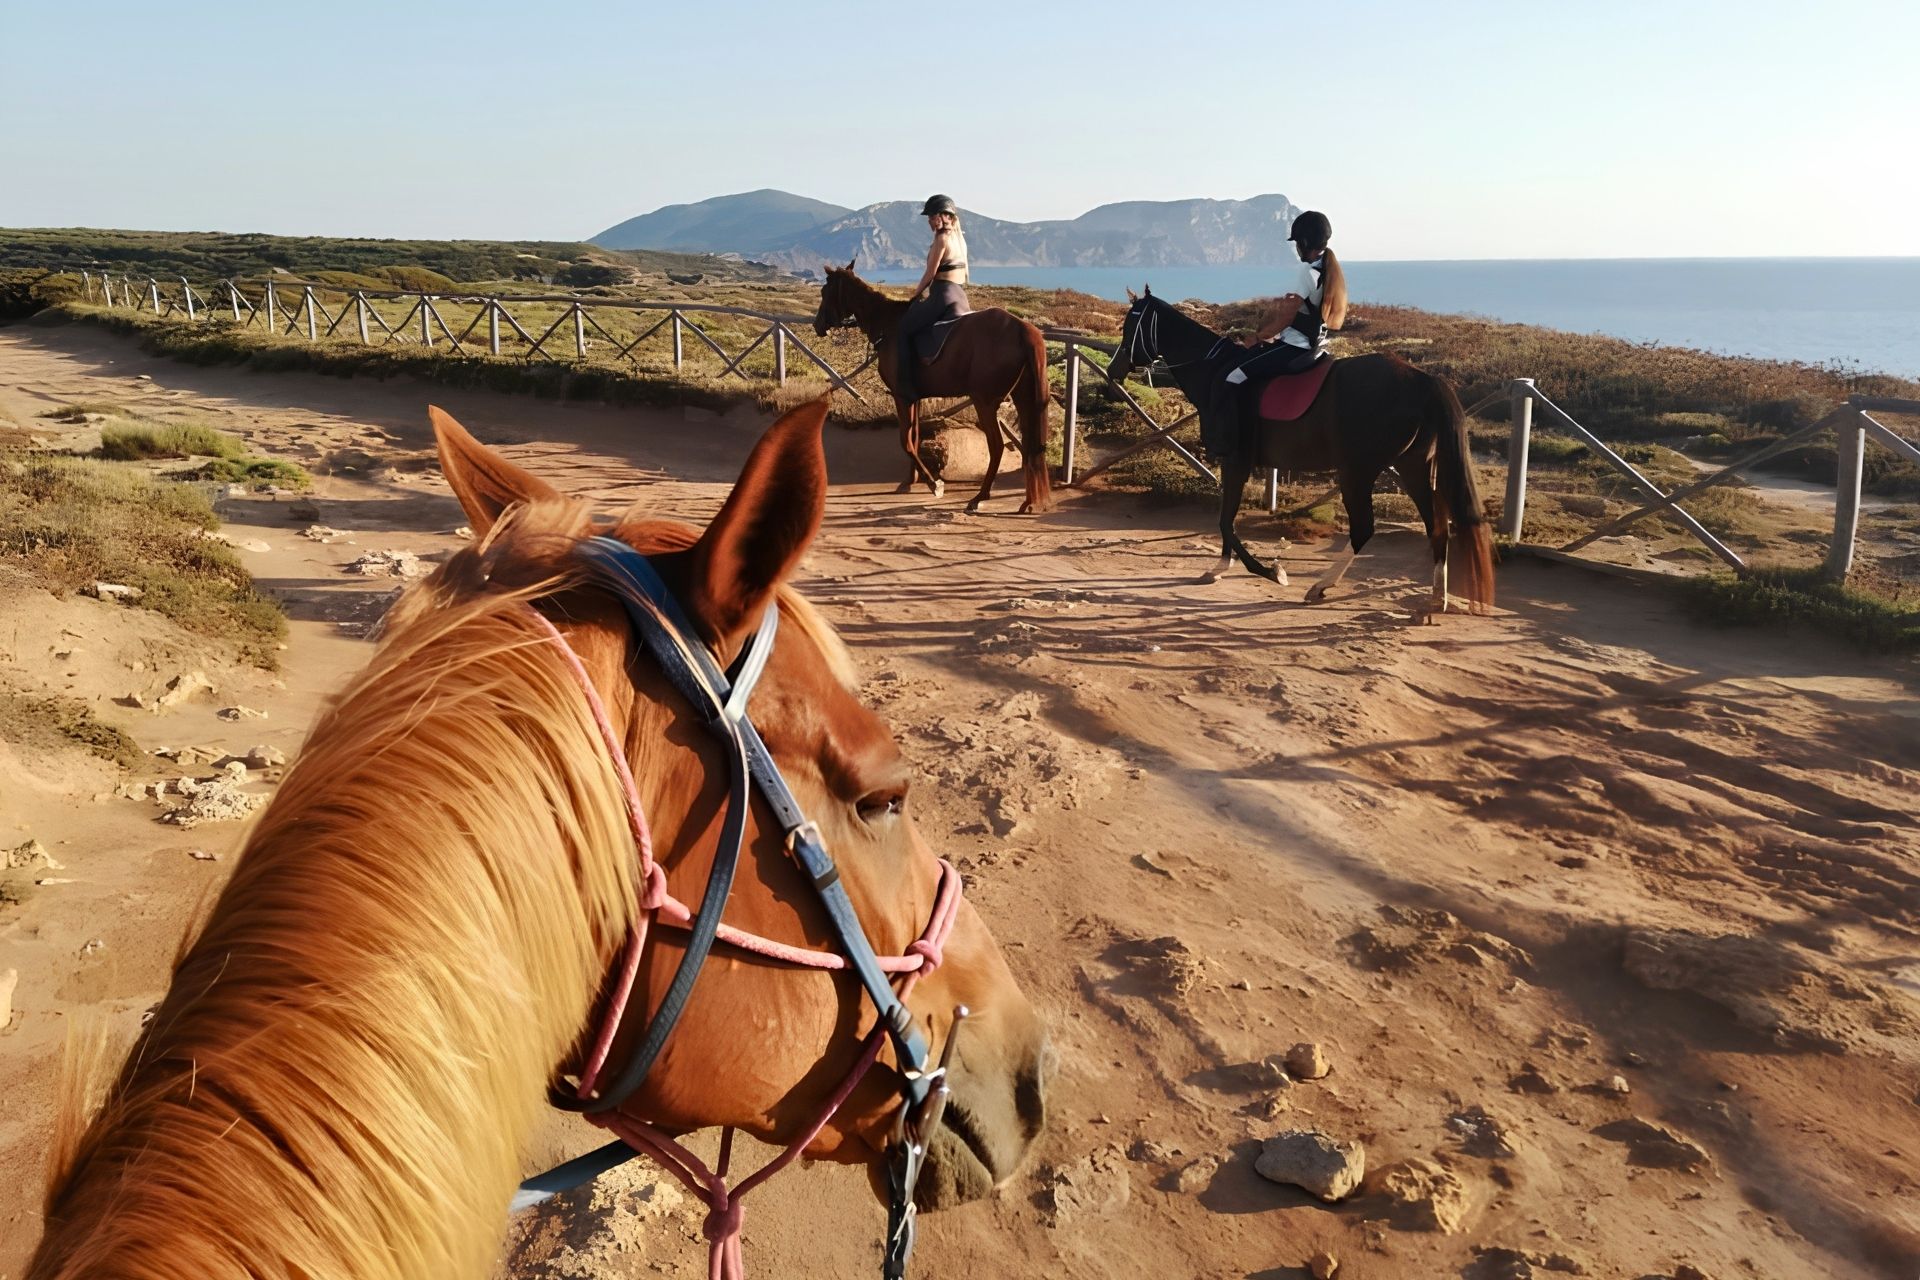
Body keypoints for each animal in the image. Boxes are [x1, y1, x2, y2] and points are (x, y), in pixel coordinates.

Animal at [813, 261, 1054, 514]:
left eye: (824, 291)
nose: (817, 325)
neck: (888, 324)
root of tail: (1022, 329)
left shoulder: (902, 396)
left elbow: (905, 440)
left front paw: (933, 483)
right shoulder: (914, 397)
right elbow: (914, 437)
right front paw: (910, 481)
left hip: (985, 402)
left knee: (997, 446)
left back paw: (980, 497)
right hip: (1023, 399)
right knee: (1031, 446)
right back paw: (1028, 501)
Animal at [1106, 290, 1494, 616]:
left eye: (1131, 325)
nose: (1113, 371)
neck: (1216, 372)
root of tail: (1419, 378)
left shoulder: (1236, 461)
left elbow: (1225, 520)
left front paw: (1269, 570)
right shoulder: (1235, 464)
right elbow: (1225, 518)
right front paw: (1220, 568)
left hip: (1357, 472)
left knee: (1364, 528)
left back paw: (1322, 586)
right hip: (1411, 467)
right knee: (1437, 525)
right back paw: (1437, 597)